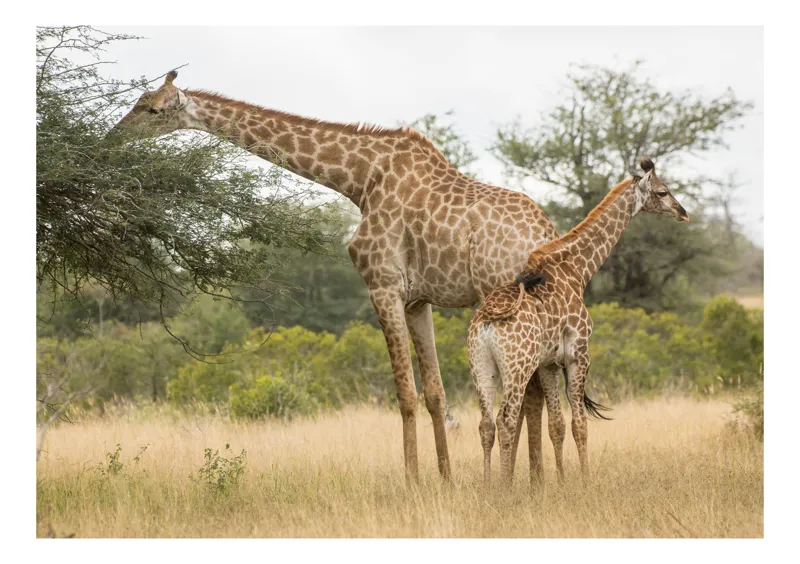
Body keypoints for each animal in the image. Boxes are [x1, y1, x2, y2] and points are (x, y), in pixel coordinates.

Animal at [111, 70, 559, 482]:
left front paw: (413, 481)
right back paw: (536, 479)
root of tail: (545, 232)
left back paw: (520, 480)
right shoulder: (417, 299)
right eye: (138, 101)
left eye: (152, 109)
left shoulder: (382, 285)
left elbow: (404, 392)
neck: (360, 180)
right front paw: (445, 479)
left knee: (526, 394)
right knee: (535, 391)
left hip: (499, 297)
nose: (113, 137)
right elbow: (434, 392)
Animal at [468, 157, 688, 486]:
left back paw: (487, 487)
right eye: (663, 191)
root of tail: (487, 322)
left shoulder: (547, 363)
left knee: (485, 424)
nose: (682, 212)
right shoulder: (579, 353)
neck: (577, 269)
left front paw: (561, 482)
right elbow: (579, 424)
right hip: (517, 367)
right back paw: (504, 488)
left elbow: (557, 425)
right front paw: (585, 481)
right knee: (505, 420)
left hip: (482, 367)